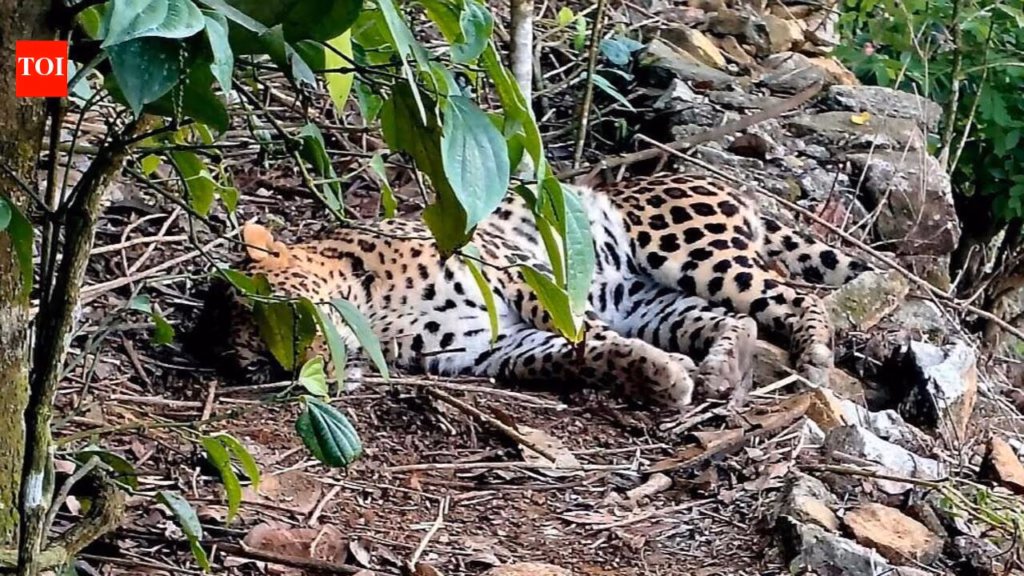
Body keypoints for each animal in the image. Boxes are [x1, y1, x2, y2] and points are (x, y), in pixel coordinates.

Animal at [191, 172, 872, 411]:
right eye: (257, 370)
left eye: (292, 319)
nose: (304, 372)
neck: (376, 312)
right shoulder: (483, 349)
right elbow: (575, 352)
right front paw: (655, 376)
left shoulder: (510, 270)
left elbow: (576, 328)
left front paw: (653, 372)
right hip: (650, 300)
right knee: (737, 318)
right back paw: (720, 369)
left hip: (688, 249)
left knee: (794, 296)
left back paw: (814, 356)